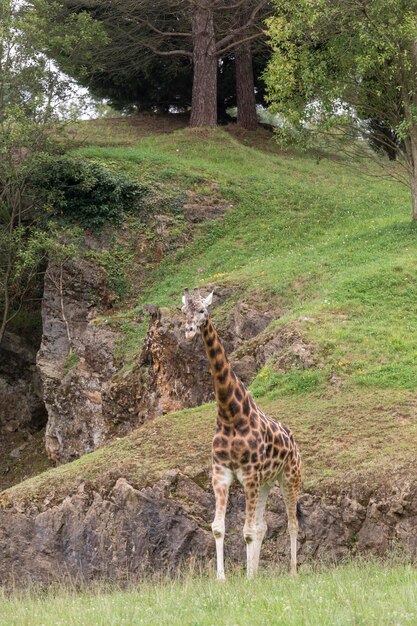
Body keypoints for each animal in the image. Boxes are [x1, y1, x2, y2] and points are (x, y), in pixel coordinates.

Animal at [180, 288, 300, 580]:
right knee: (263, 525)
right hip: (267, 482)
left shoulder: (248, 474)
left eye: (202, 310)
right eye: (183, 311)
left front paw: (247, 578)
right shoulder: (222, 473)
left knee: (292, 523)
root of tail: (294, 442)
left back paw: (292, 572)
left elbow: (246, 531)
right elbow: (219, 527)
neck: (230, 414)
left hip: (290, 477)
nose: (188, 331)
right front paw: (223, 578)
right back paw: (257, 569)